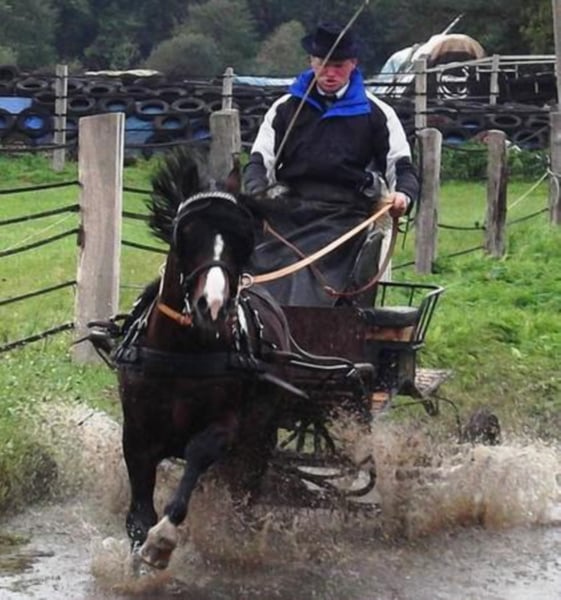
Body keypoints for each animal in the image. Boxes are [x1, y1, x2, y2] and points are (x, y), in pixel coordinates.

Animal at [114, 148, 300, 570]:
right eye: (185, 233)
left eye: (243, 237)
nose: (211, 305)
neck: (181, 351)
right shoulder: (136, 433)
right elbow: (139, 512)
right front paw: (137, 556)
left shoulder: (225, 426)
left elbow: (198, 455)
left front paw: (161, 541)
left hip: (259, 433)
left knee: (247, 483)